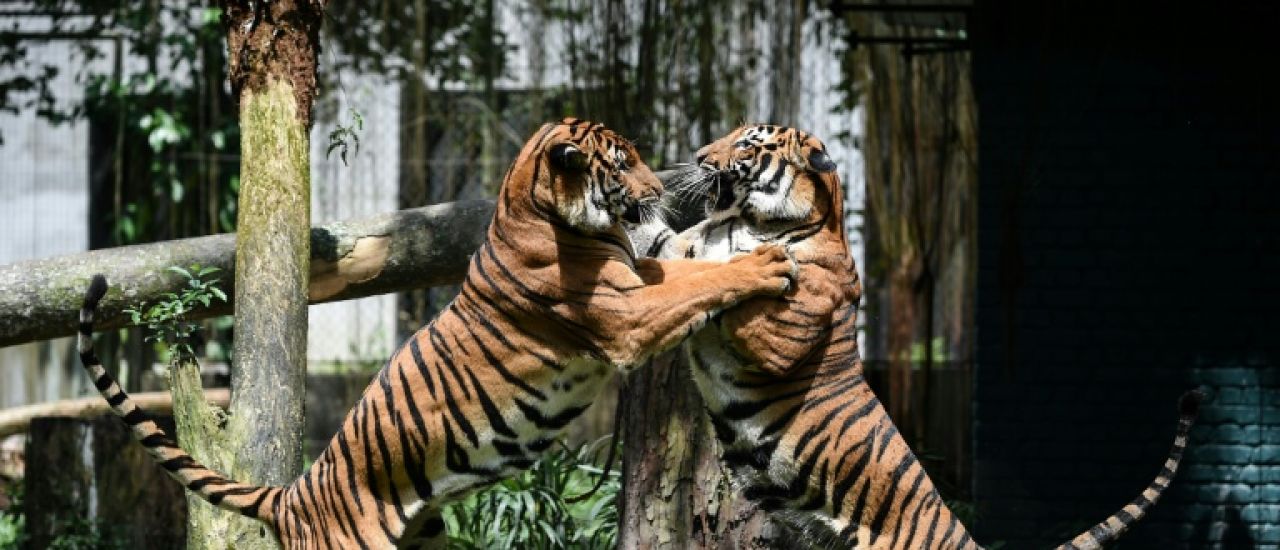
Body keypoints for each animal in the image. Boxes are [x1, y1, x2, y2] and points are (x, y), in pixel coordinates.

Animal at [75, 118, 802, 549]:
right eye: (620, 164)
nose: (662, 189)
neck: (536, 207)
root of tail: (293, 496)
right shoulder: (626, 313)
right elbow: (693, 286)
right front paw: (765, 263)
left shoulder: (639, 275)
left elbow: (689, 267)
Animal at [627, 123, 1203, 549]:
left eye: (747, 143)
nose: (699, 155)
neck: (745, 222)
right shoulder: (681, 248)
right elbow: (660, 247)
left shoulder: (778, 338)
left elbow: (729, 290)